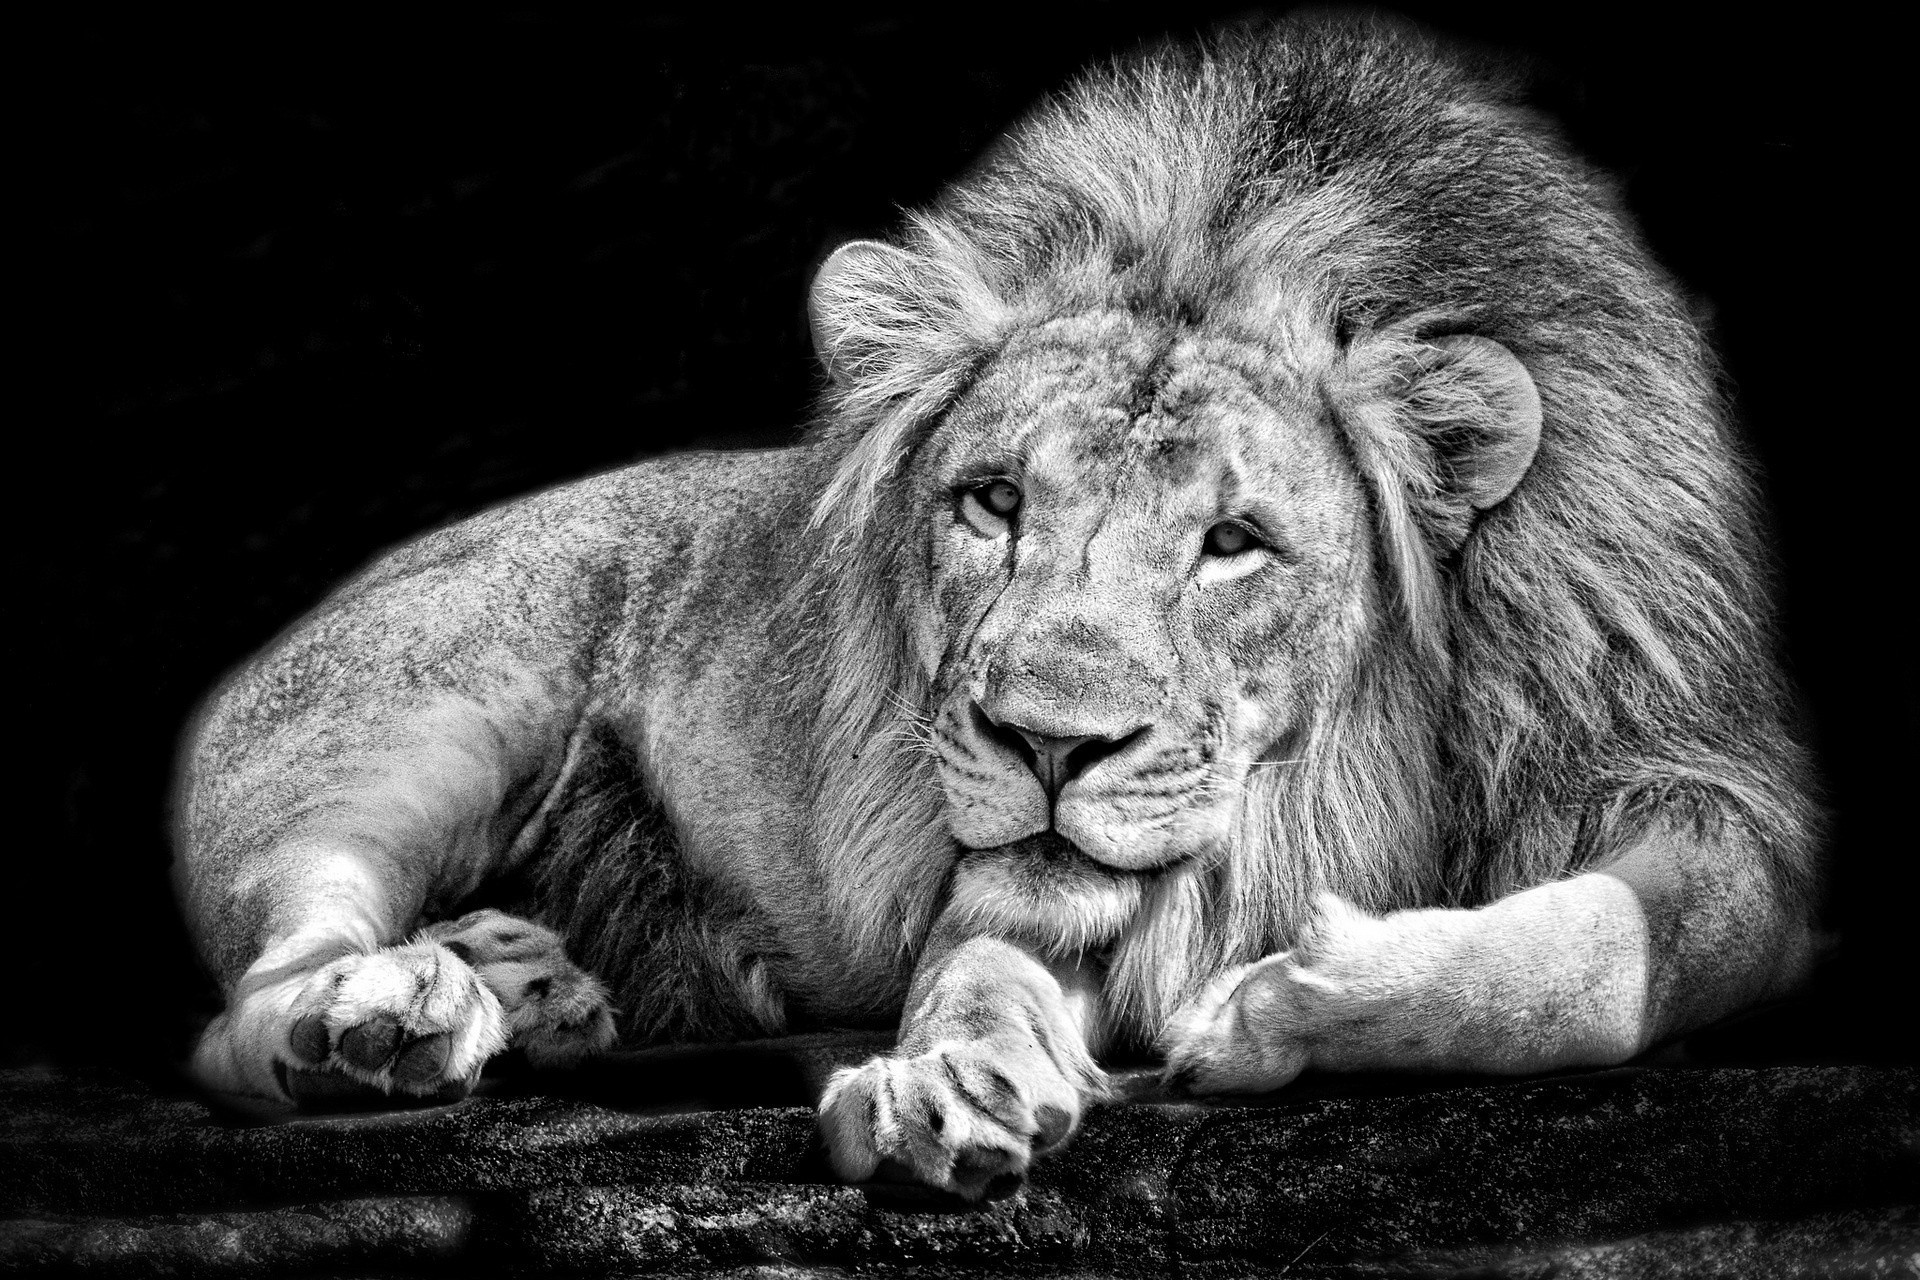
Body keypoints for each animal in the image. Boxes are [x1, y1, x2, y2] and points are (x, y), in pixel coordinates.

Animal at [175, 13, 1822, 1199]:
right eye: (991, 503)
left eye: (1234, 542)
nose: (1047, 745)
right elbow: (979, 957)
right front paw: (947, 1079)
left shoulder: (1704, 784)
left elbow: (1608, 956)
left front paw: (1281, 1002)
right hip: (417, 730)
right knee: (252, 1000)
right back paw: (384, 1019)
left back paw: (530, 981)